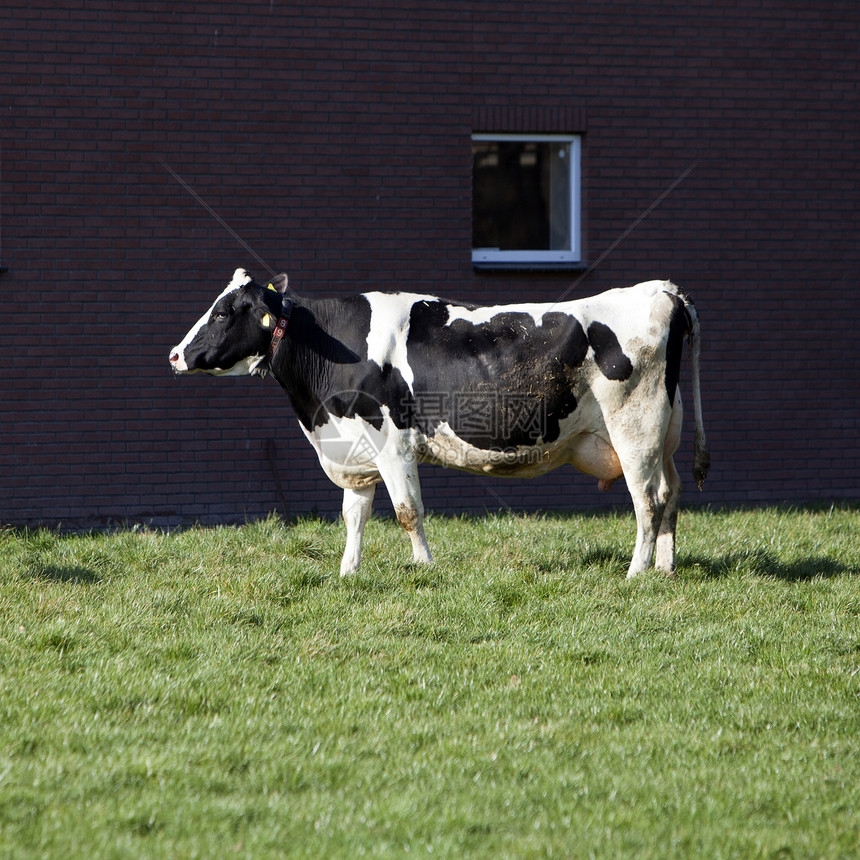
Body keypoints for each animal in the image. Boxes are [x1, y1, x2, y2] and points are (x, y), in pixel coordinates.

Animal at [171, 268, 708, 576]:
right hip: (666, 432)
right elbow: (353, 515)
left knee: (647, 500)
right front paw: (348, 574)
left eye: (225, 312)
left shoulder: (391, 443)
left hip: (635, 428)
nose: (175, 354)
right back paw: (665, 570)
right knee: (672, 492)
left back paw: (636, 573)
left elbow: (408, 511)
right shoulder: (356, 451)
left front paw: (425, 569)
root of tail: (662, 291)